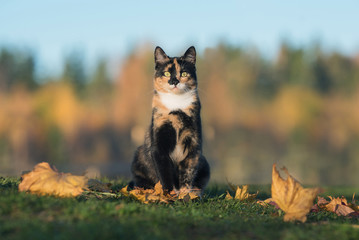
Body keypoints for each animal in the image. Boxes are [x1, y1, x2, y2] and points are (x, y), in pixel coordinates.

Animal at [130, 46, 211, 192]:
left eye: (183, 73)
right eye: (167, 73)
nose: (174, 81)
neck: (176, 107)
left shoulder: (194, 143)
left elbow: (188, 172)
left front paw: (185, 194)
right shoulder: (159, 145)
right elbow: (165, 173)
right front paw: (169, 193)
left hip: (205, 164)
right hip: (138, 157)